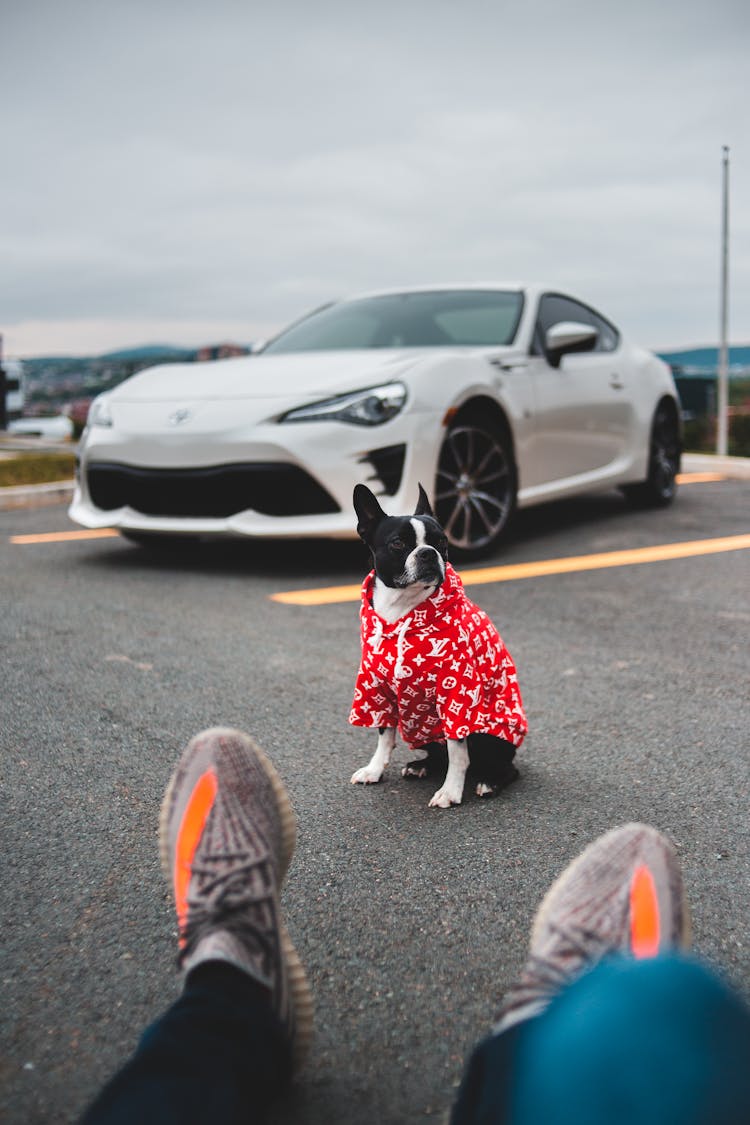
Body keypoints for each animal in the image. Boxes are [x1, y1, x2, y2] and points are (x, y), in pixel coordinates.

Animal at [348, 483, 528, 810]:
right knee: (437, 754)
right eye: (397, 544)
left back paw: (489, 782)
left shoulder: (456, 693)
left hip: (490, 738)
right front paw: (374, 769)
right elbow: (384, 734)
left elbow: (458, 752)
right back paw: (421, 766)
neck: (401, 610)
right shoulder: (379, 690)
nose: (428, 553)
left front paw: (450, 791)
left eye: (441, 541)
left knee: (503, 767)